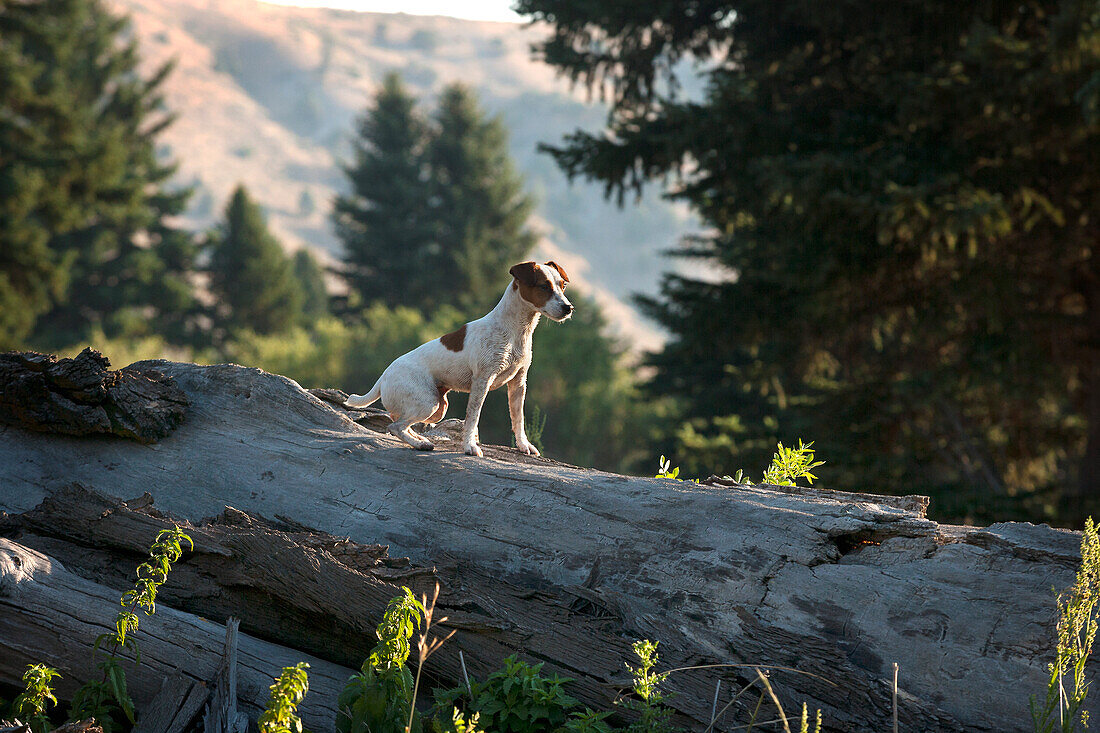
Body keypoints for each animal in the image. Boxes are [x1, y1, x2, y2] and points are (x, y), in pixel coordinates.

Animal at [345, 260, 576, 457]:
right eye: (544, 286)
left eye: (562, 285)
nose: (569, 308)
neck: (514, 331)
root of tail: (384, 376)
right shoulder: (482, 381)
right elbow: (473, 418)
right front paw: (470, 447)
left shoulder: (518, 383)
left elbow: (518, 419)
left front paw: (523, 445)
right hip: (428, 403)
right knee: (395, 426)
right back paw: (419, 444)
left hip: (438, 407)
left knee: (399, 422)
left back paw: (420, 439)